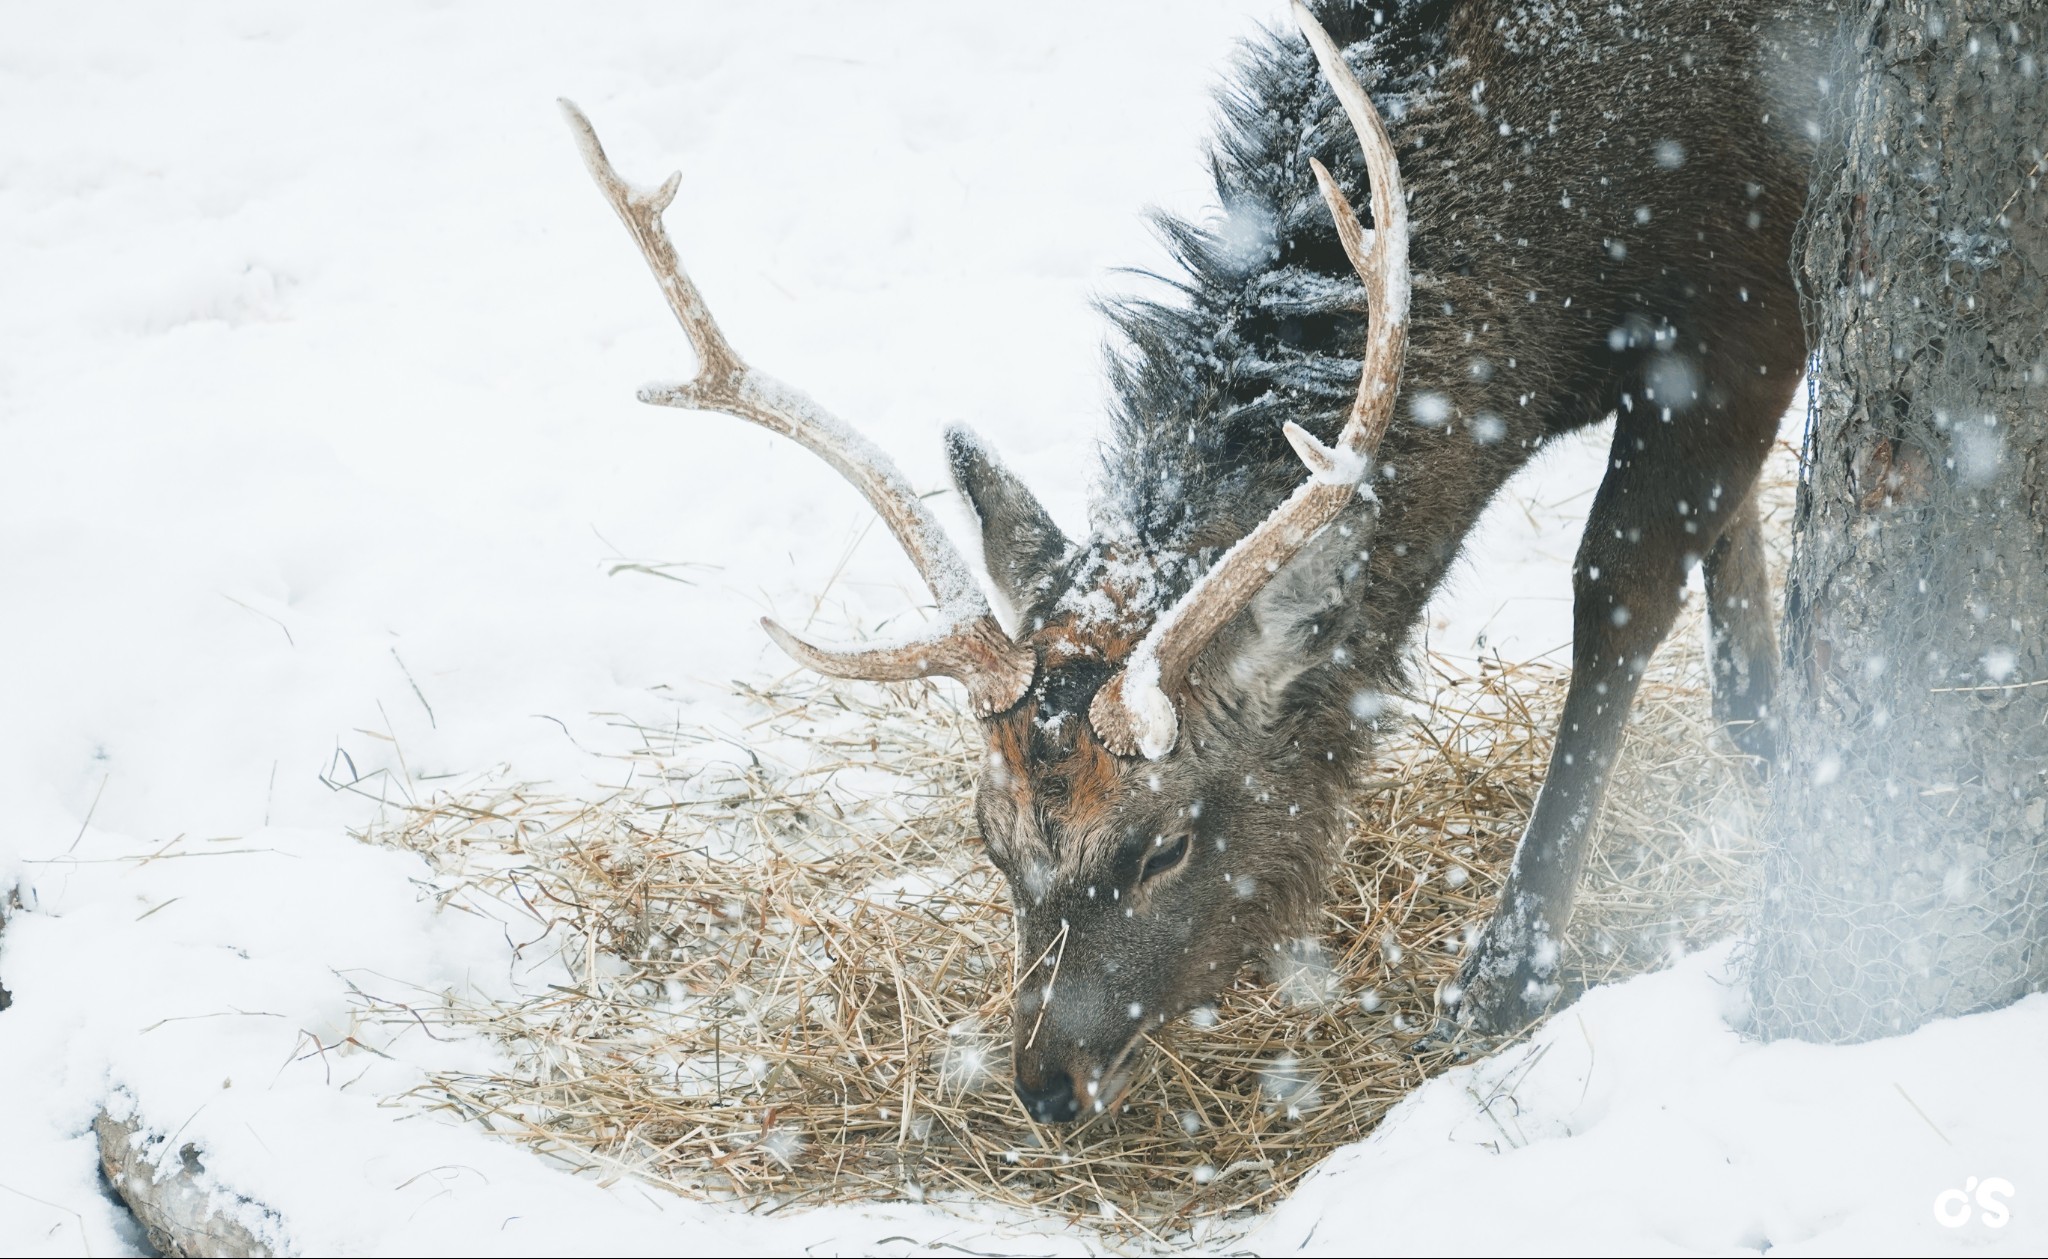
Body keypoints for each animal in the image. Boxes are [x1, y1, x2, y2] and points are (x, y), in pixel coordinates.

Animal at [561, 0, 1810, 1121]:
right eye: (989, 838)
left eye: (1163, 844)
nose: (1044, 1086)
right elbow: (1727, 545)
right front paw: (1769, 745)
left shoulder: (1745, 306)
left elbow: (1618, 589)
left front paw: (1500, 979)